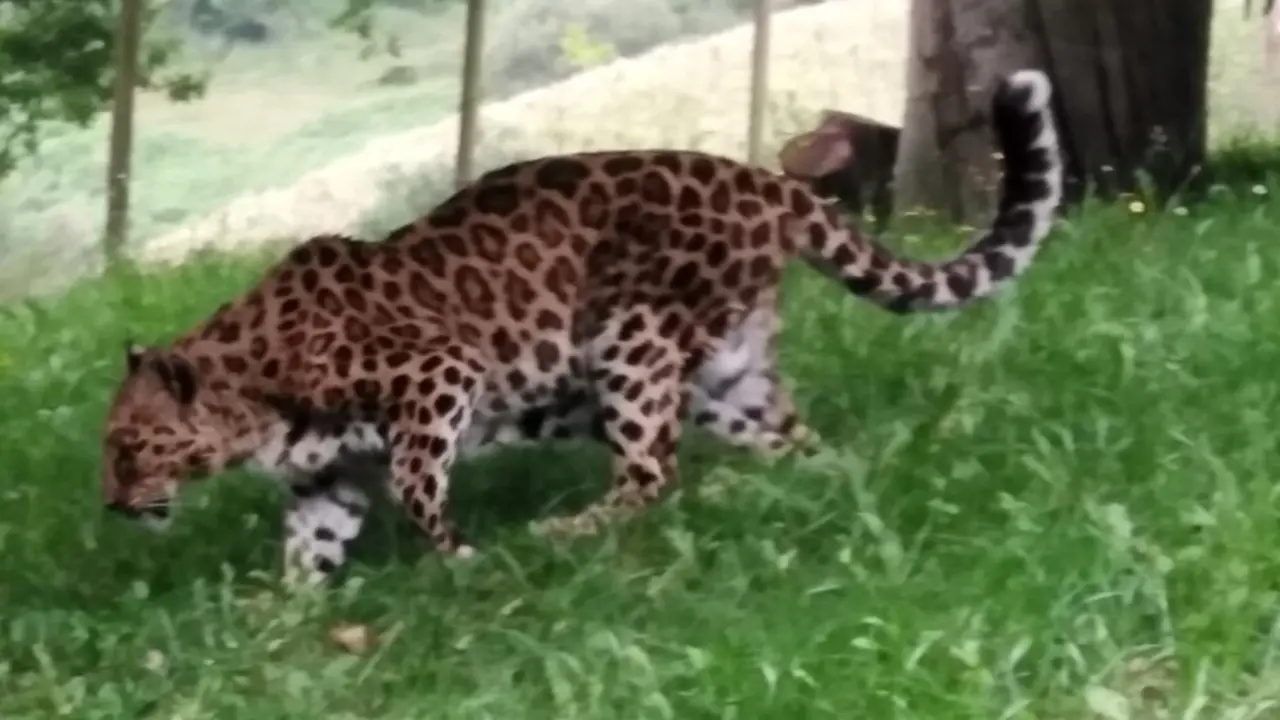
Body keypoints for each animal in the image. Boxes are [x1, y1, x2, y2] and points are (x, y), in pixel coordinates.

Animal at [100, 69, 1063, 585]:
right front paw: (277, 620)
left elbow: (418, 486)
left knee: (650, 470)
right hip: (726, 374)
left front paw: (461, 561)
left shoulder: (438, 375)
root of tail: (770, 182)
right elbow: (312, 545)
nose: (111, 506)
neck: (252, 393)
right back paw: (804, 489)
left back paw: (564, 533)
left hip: (632, 341)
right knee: (784, 443)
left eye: (130, 446)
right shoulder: (327, 477)